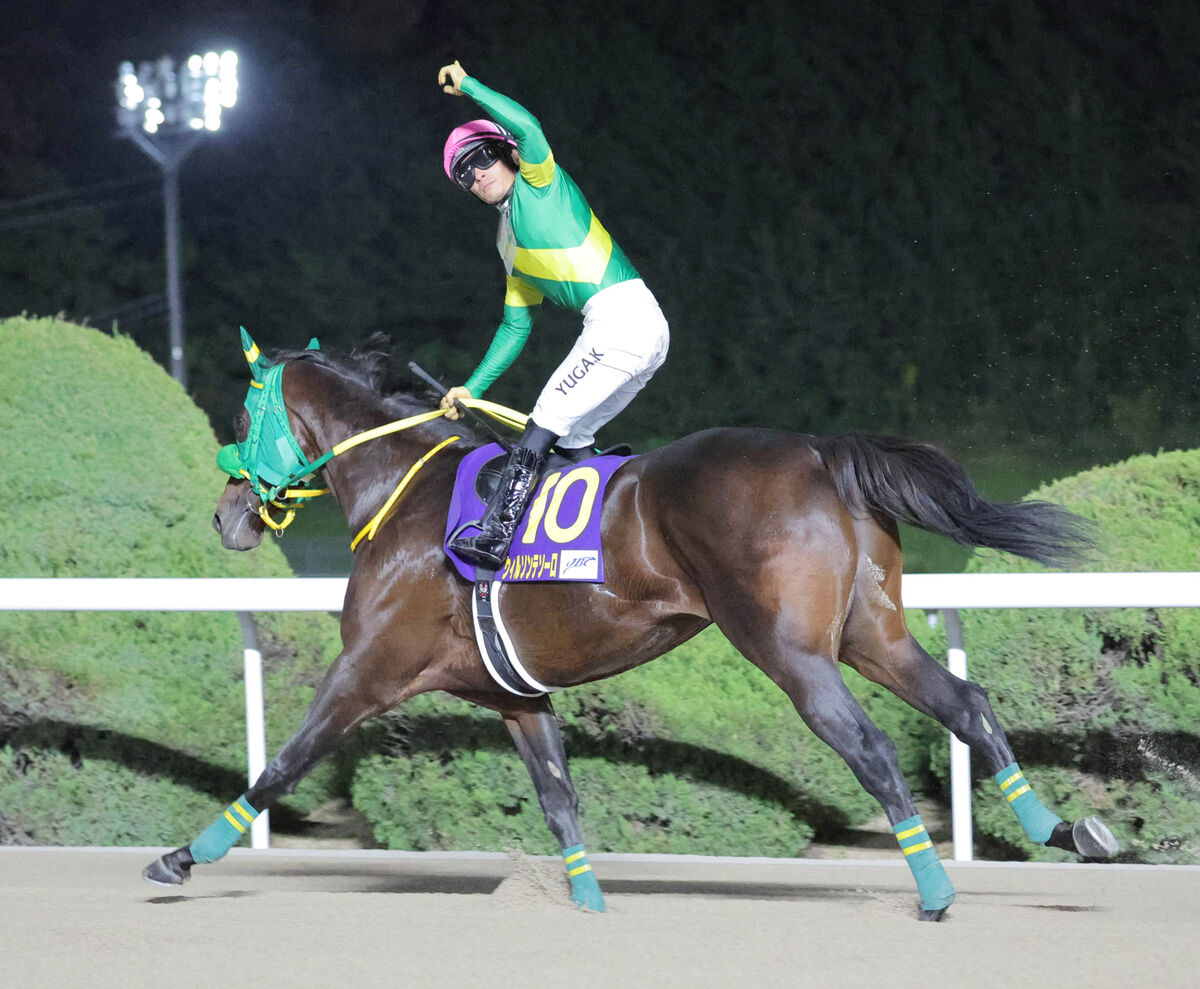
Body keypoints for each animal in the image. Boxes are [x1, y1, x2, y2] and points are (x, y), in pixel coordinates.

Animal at [145, 333, 1118, 921]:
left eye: (242, 415)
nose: (227, 515)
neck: (404, 492)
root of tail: (817, 449)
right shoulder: (516, 693)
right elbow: (558, 796)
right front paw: (589, 906)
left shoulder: (368, 667)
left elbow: (283, 761)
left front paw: (181, 857)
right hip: (869, 633)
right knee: (967, 702)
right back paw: (1063, 831)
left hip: (789, 651)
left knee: (872, 749)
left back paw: (935, 888)